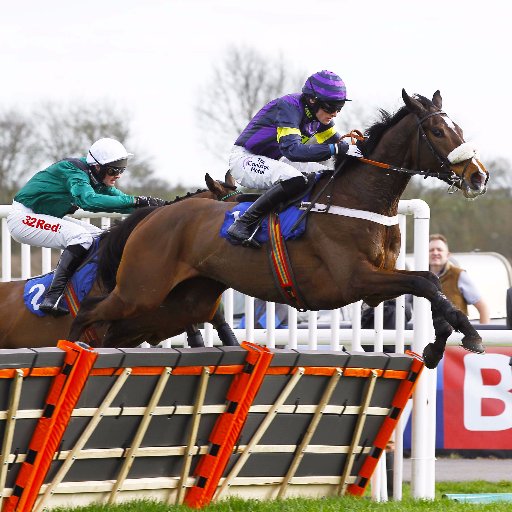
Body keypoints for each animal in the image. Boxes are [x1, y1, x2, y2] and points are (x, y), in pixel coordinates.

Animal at [70, 89, 490, 368]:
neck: (359, 197)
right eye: (437, 132)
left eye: (458, 127)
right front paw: (466, 334)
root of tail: (153, 216)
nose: (479, 176)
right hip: (140, 290)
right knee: (87, 312)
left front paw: (441, 342)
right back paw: (74, 350)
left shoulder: (377, 283)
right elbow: (423, 282)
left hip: (182, 301)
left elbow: (430, 283)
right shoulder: (354, 280)